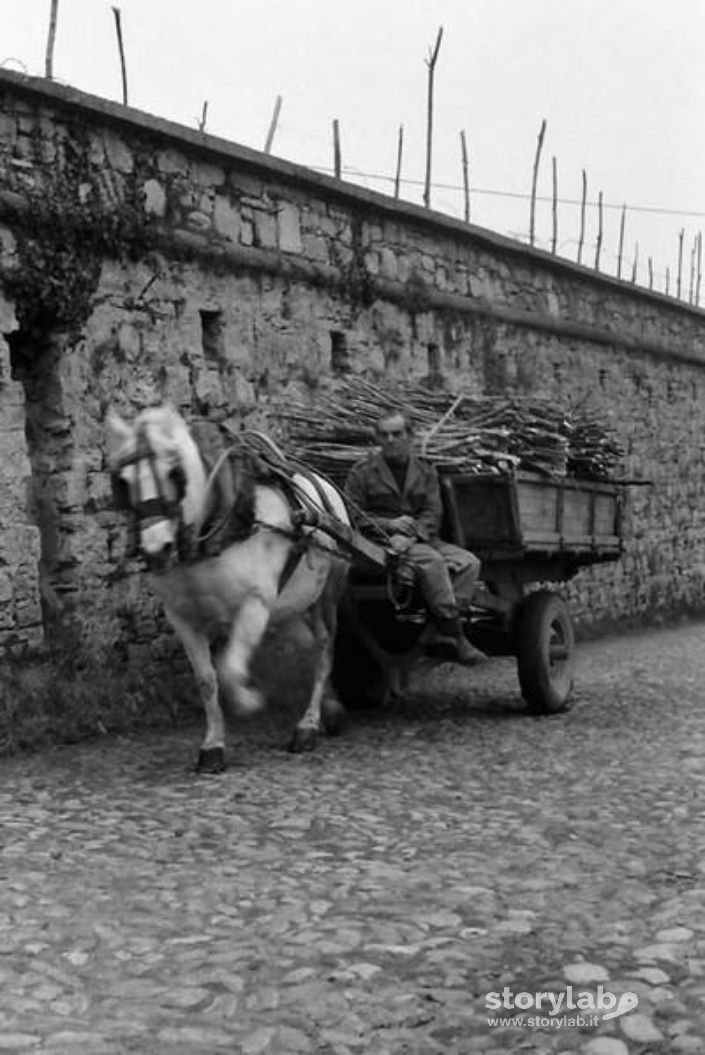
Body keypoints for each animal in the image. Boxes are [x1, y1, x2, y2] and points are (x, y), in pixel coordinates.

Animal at [106, 405, 350, 776]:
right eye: (123, 481)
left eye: (175, 472)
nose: (156, 550)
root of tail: (325, 487)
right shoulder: (181, 616)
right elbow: (207, 680)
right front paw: (212, 745)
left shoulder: (254, 605)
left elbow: (231, 669)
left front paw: (250, 701)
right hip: (288, 609)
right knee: (309, 646)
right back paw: (331, 707)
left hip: (325, 595)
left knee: (324, 648)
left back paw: (309, 724)